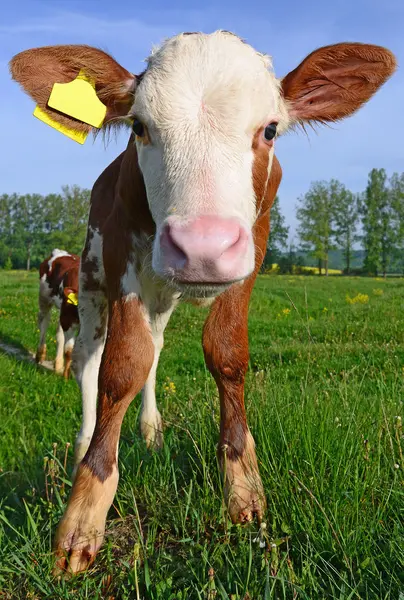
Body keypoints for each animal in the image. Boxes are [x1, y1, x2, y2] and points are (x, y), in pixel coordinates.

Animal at [35, 250, 79, 380]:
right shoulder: (68, 319)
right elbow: (69, 350)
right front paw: (66, 377)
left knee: (59, 334)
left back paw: (58, 365)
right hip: (44, 299)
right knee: (44, 322)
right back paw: (40, 355)